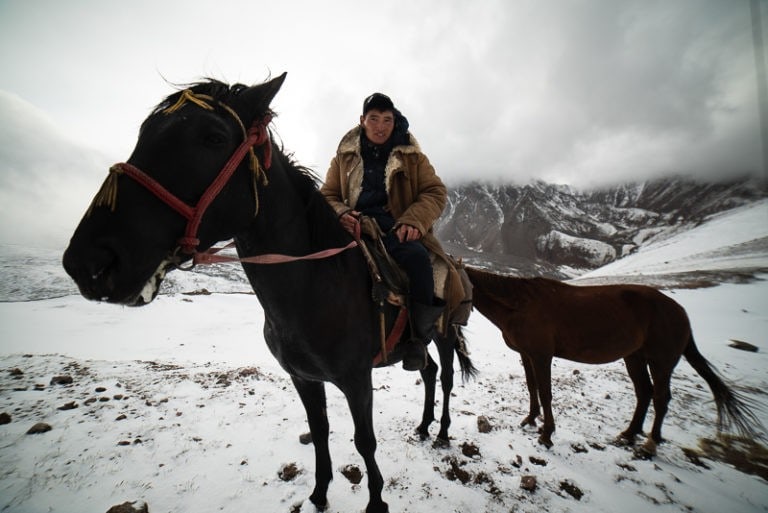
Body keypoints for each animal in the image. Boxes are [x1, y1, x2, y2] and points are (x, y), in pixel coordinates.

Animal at [62, 74, 475, 513]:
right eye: (143, 132)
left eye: (213, 137)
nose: (89, 261)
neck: (316, 288)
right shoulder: (303, 377)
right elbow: (320, 430)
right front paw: (319, 494)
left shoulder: (357, 379)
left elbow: (365, 442)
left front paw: (376, 502)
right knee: (428, 371)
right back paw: (423, 426)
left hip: (444, 334)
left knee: (446, 377)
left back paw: (443, 432)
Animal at [464, 266, 763, 456]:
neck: (518, 304)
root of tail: (681, 313)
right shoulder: (527, 355)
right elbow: (532, 387)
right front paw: (530, 419)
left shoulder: (541, 356)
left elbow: (546, 393)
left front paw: (547, 434)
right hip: (635, 358)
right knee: (644, 392)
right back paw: (629, 434)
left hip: (661, 362)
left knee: (661, 398)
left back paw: (650, 444)